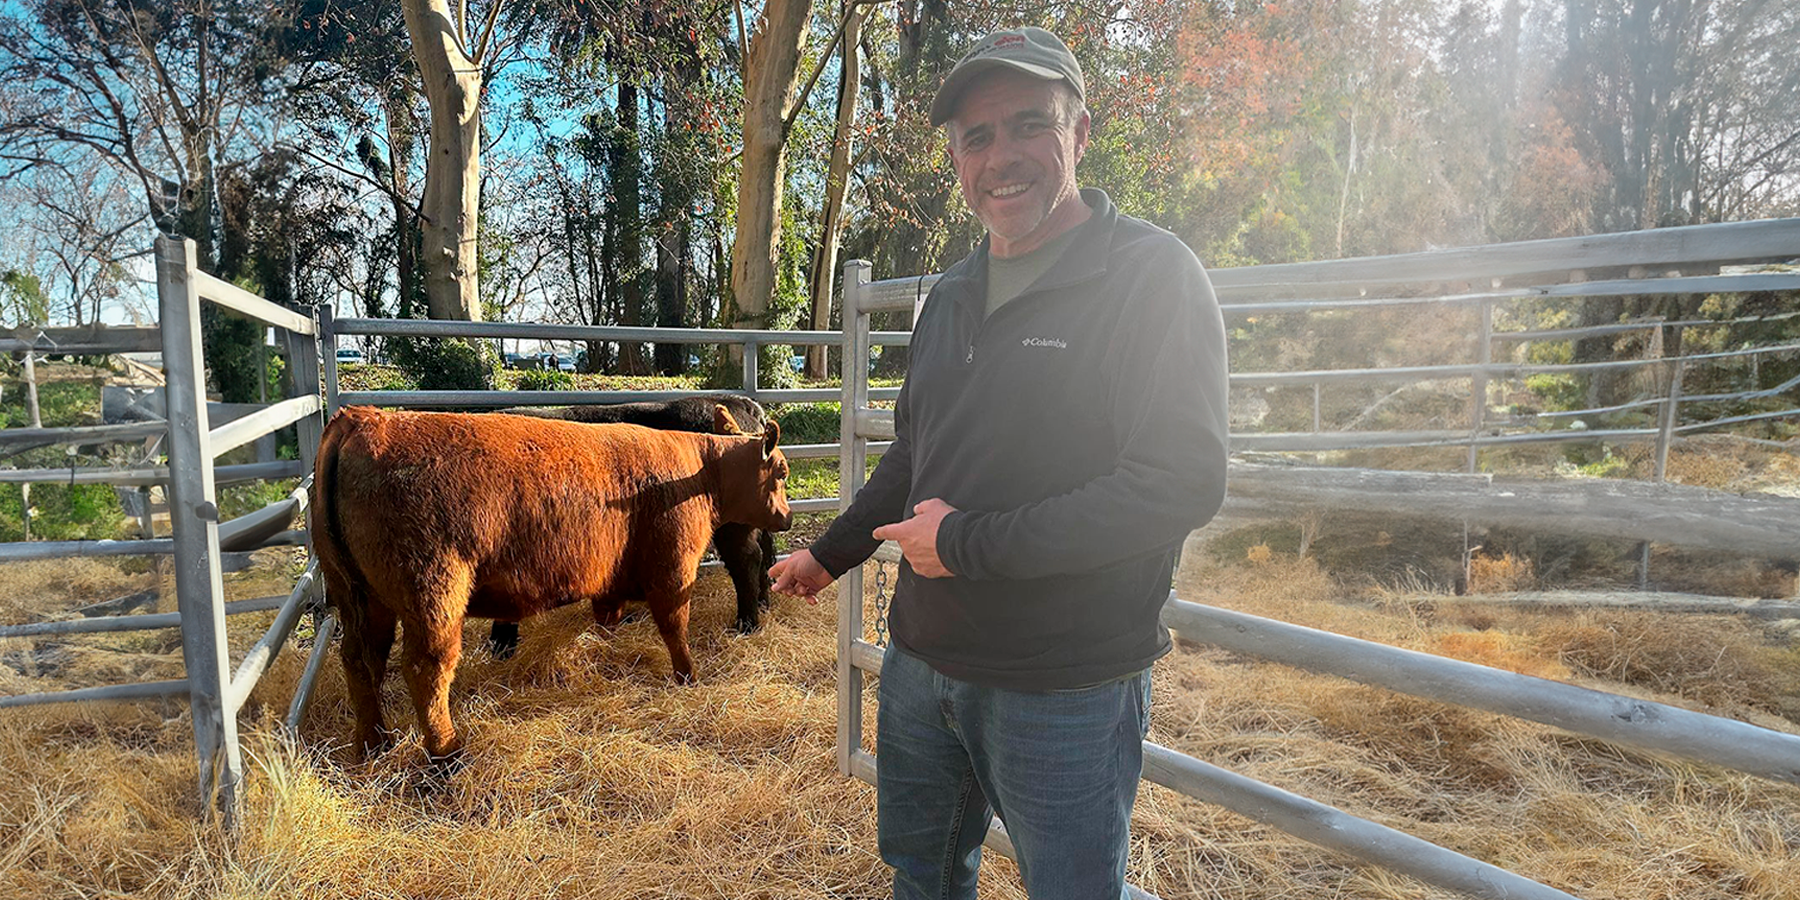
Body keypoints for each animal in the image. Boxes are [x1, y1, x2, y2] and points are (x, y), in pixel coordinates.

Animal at [489, 394, 777, 655]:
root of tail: (741, 403)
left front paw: (501, 646)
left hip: (734, 524)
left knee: (746, 560)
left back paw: (747, 623)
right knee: (764, 553)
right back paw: (763, 604)